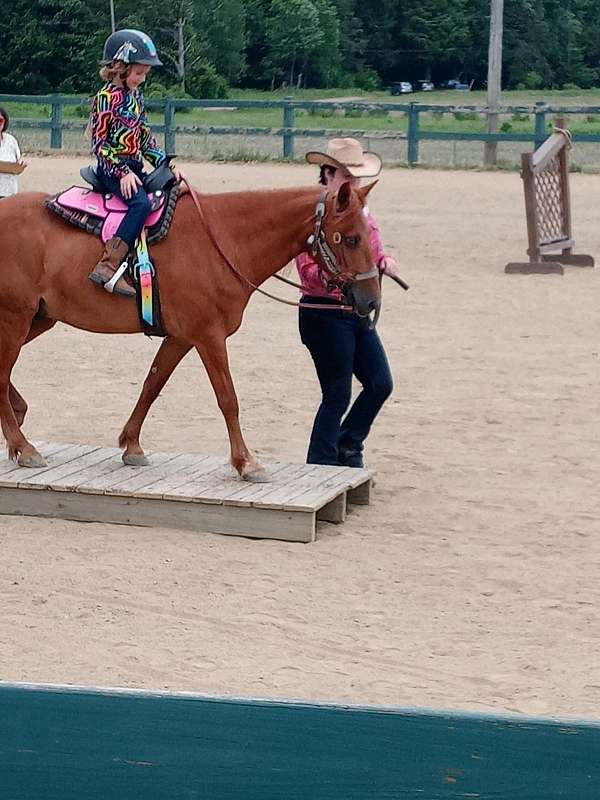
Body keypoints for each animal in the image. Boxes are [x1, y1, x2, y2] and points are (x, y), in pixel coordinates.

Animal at [0, 179, 380, 480]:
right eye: (350, 239)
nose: (371, 301)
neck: (224, 240)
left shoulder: (181, 337)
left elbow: (152, 384)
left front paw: (132, 445)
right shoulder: (209, 336)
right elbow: (228, 398)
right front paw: (246, 462)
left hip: (39, 318)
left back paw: (18, 417)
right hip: (15, 318)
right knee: (1, 376)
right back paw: (23, 446)